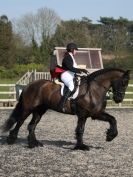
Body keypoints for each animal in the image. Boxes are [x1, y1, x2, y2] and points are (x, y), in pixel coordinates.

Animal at [2, 68, 130, 150]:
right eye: (123, 82)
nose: (118, 99)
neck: (94, 89)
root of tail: (30, 85)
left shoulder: (95, 113)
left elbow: (113, 119)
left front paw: (110, 136)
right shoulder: (83, 114)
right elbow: (80, 130)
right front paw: (81, 147)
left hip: (39, 111)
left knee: (31, 126)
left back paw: (33, 144)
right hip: (27, 109)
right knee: (20, 122)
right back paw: (11, 140)